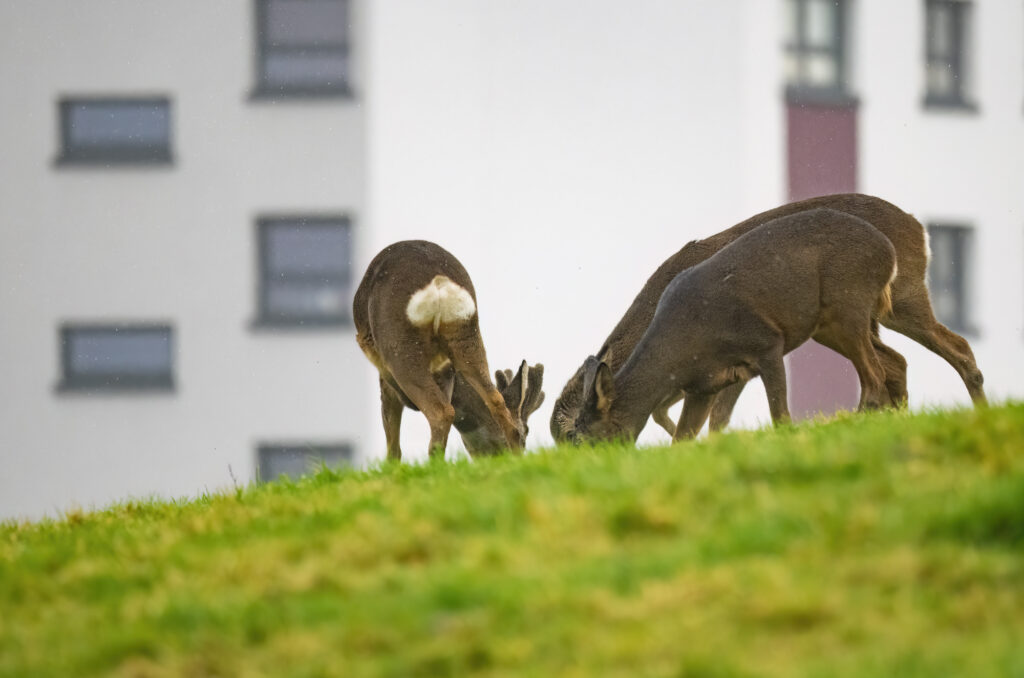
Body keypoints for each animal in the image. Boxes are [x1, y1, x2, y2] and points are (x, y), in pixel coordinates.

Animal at [354, 240, 545, 461]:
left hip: (400, 347)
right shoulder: (445, 369)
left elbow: (392, 434)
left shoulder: (385, 375)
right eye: (527, 432)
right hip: (466, 335)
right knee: (495, 401)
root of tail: (439, 283)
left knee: (440, 412)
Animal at [551, 193, 986, 443]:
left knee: (953, 345)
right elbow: (674, 413)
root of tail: (920, 228)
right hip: (858, 319)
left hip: (900, 297)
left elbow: (716, 417)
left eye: (571, 436)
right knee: (899, 361)